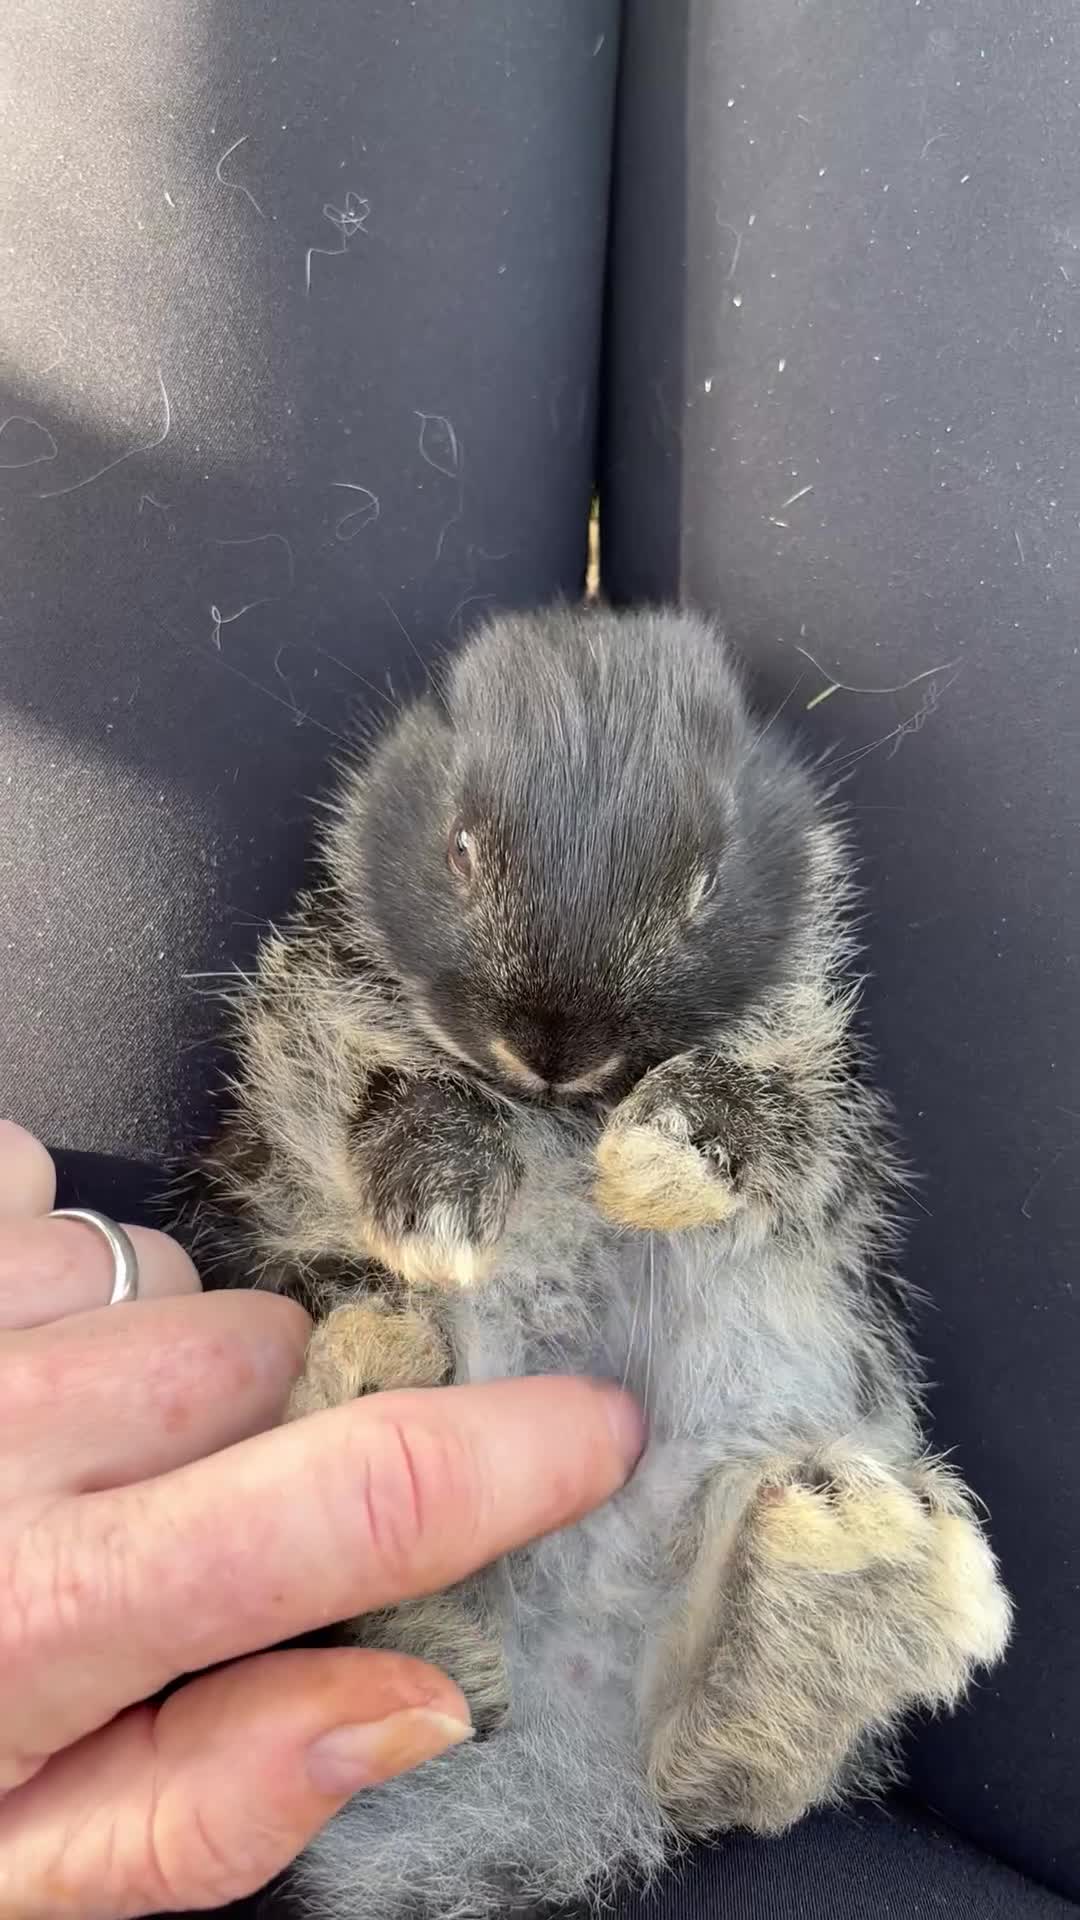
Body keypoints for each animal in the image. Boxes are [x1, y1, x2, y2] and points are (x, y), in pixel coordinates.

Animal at [184, 605, 1012, 1920]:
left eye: (705, 879)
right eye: (461, 846)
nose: (556, 1045)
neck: (562, 1113)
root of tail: (578, 1731)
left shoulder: (810, 1088)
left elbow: (758, 1111)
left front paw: (648, 1172)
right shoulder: (314, 1021)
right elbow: (383, 1080)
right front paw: (443, 1216)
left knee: (724, 1774)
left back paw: (845, 1542)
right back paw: (383, 1366)